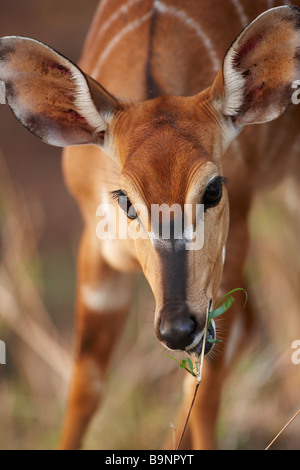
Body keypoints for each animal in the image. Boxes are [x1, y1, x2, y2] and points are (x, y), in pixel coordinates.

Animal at [0, 0, 300, 450]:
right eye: (125, 199)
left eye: (213, 189)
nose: (176, 328)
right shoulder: (96, 250)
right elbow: (85, 387)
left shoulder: (233, 243)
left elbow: (205, 392)